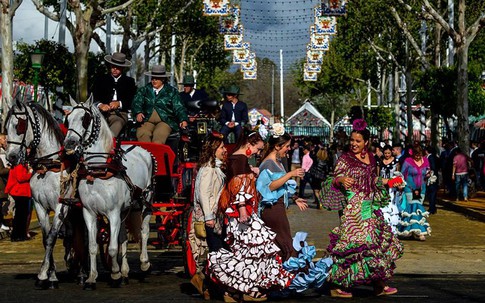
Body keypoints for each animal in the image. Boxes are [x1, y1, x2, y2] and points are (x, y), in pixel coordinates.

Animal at [4, 100, 72, 290]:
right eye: (5, 127)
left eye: (19, 125)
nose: (10, 157)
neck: (48, 167)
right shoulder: (41, 206)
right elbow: (46, 238)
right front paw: (51, 276)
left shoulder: (61, 206)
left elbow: (51, 238)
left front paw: (43, 275)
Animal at [63, 97, 152, 290]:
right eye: (67, 119)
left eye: (85, 119)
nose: (69, 143)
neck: (98, 170)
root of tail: (142, 150)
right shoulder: (89, 213)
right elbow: (92, 247)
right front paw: (91, 278)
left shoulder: (113, 213)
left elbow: (111, 248)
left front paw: (115, 274)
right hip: (126, 209)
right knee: (124, 237)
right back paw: (126, 272)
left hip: (146, 202)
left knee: (144, 231)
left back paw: (144, 263)